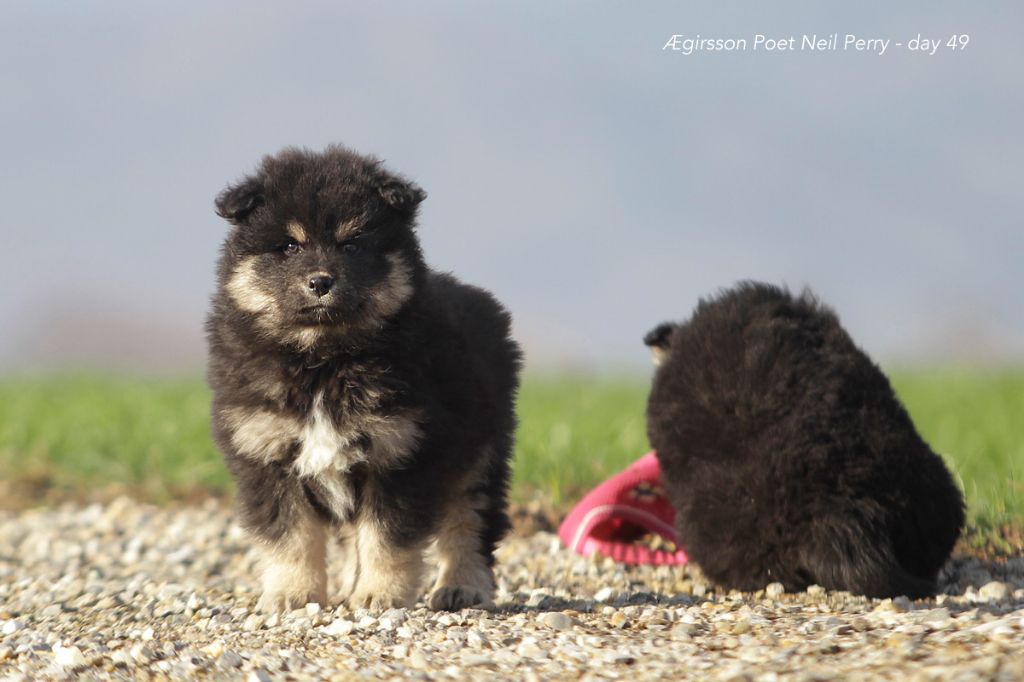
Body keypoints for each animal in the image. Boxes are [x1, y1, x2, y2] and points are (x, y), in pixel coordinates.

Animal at [206, 145, 521, 612]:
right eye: (288, 246)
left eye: (352, 244)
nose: (320, 281)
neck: (323, 359)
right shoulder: (266, 453)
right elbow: (290, 536)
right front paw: (292, 594)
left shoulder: (402, 451)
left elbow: (387, 536)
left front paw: (380, 594)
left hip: (481, 450)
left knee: (471, 518)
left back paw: (462, 586)